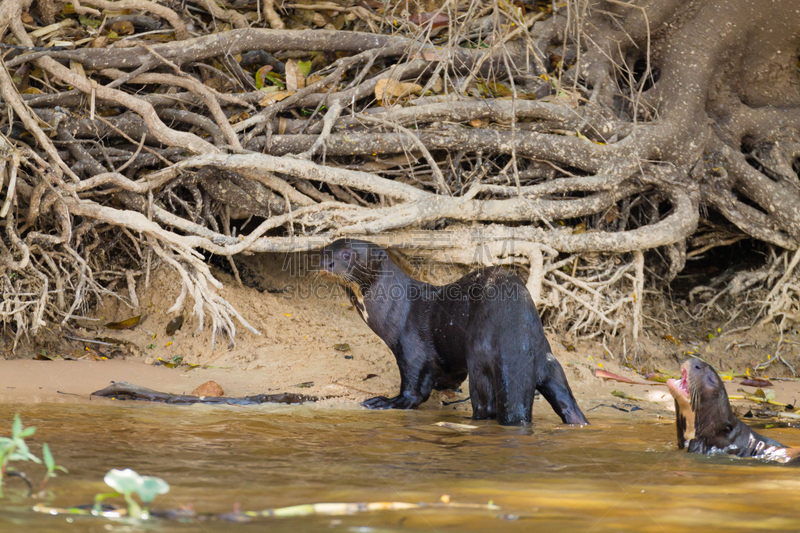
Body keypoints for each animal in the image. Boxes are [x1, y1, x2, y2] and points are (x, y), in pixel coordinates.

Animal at [318, 239, 588, 426]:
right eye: (324, 251)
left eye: (346, 254)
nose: (326, 263)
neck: (397, 307)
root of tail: (515, 333)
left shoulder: (411, 348)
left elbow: (413, 392)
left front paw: (385, 402)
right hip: (548, 359)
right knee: (567, 401)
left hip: (481, 357)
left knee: (486, 407)